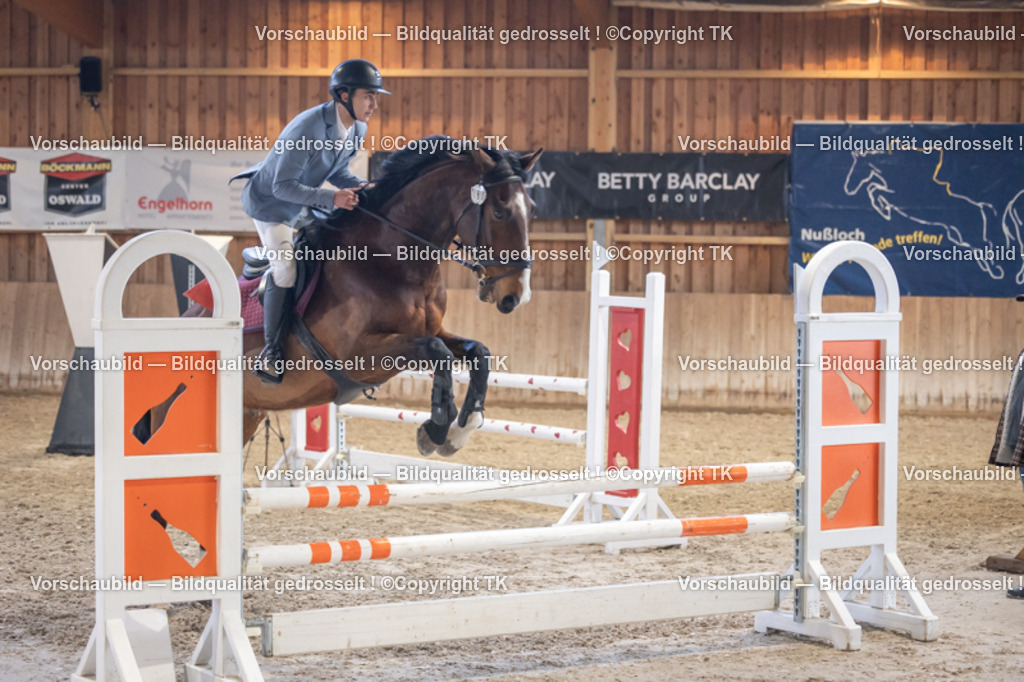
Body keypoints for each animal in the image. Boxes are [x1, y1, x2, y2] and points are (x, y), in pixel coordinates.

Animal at [193, 138, 542, 457]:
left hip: (247, 413)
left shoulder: (431, 331)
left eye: (532, 210)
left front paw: (459, 431)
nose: (517, 296)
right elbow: (438, 352)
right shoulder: (356, 355)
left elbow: (478, 352)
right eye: (499, 211)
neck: (390, 261)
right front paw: (436, 429)